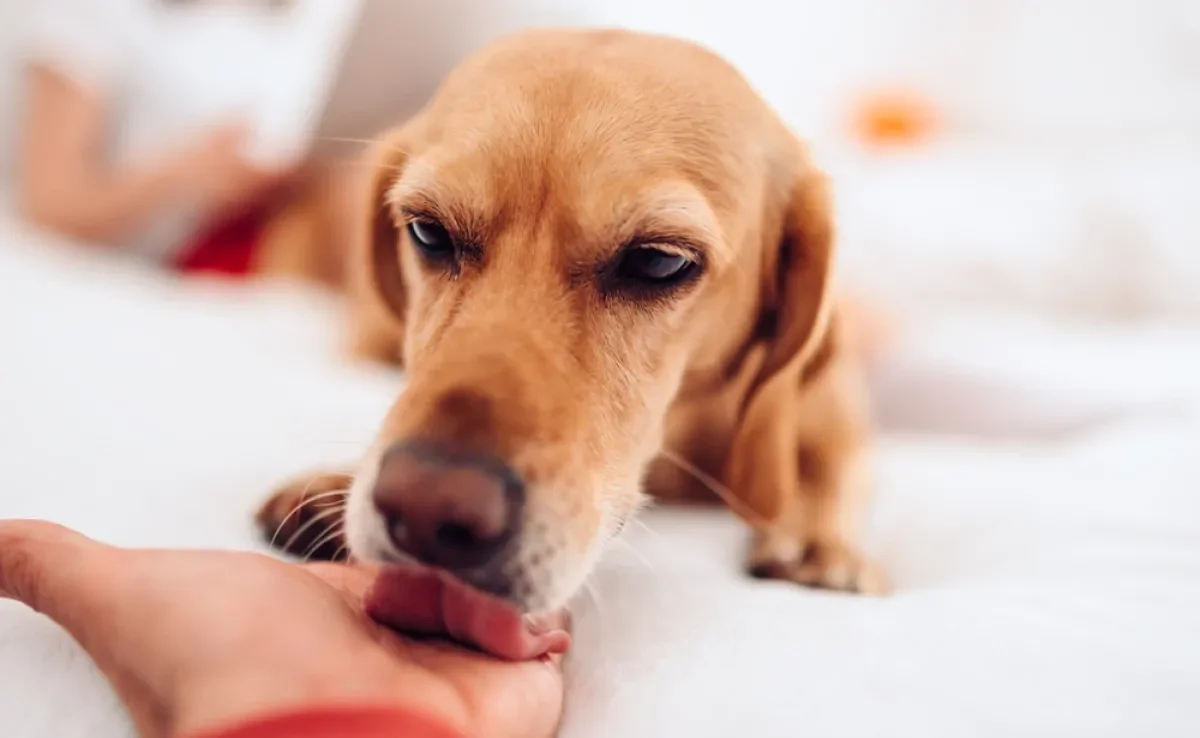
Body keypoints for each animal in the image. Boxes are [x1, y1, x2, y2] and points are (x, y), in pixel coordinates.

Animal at [255, 25, 892, 619]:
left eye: (659, 262)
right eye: (428, 232)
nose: (426, 509)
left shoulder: (830, 411)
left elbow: (826, 470)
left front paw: (818, 539)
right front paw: (336, 485)